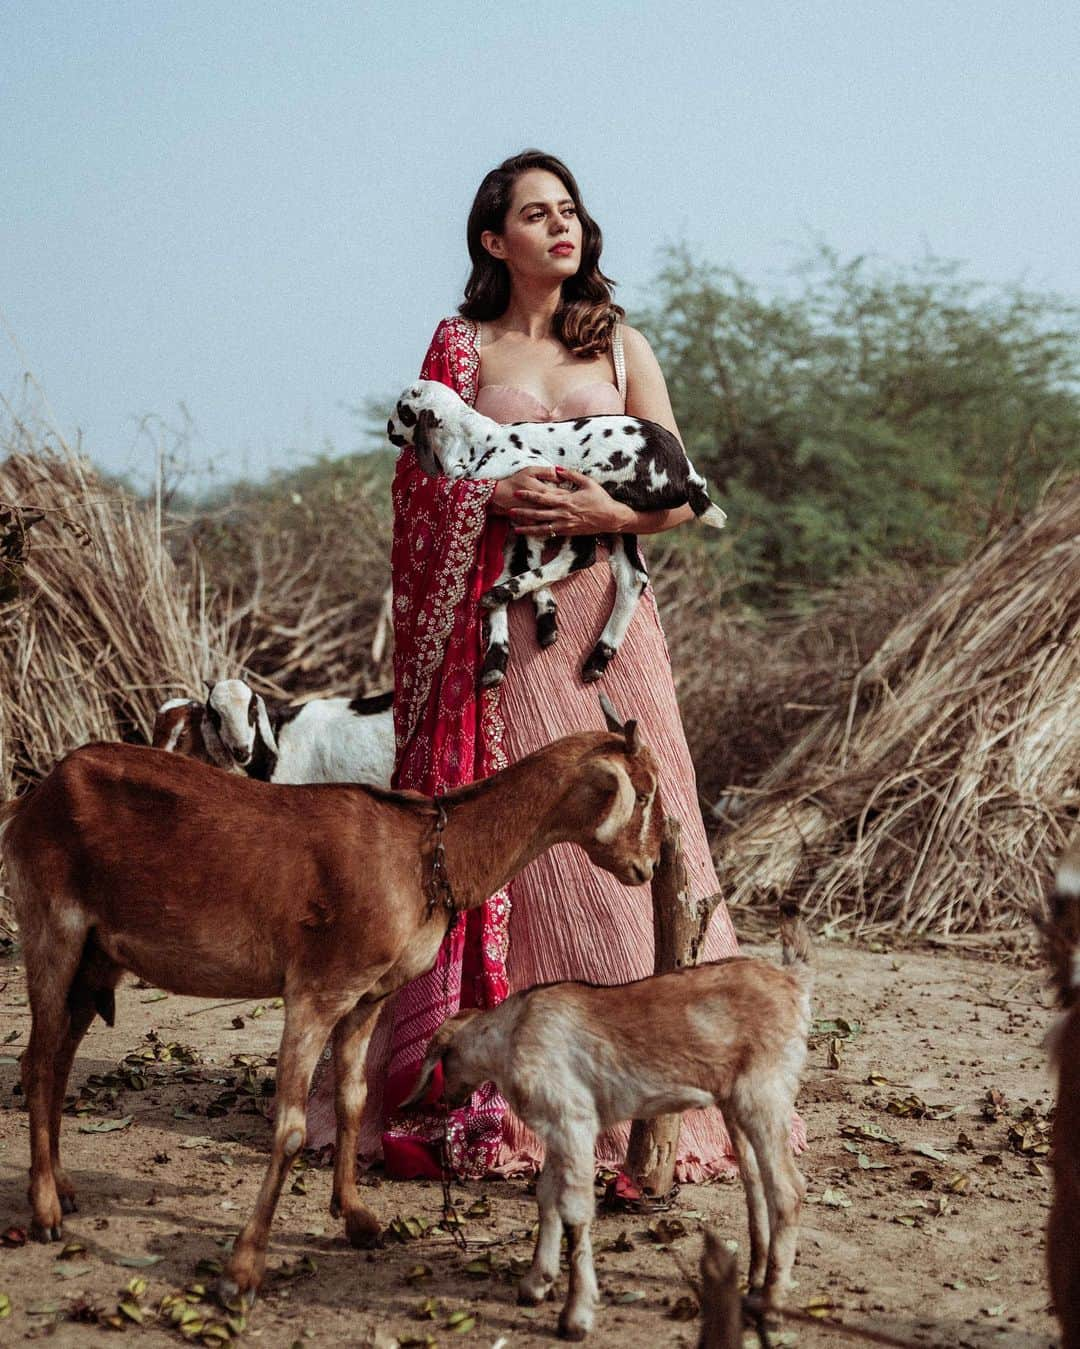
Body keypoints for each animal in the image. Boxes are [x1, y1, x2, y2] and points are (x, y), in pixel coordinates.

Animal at [388, 380, 722, 690]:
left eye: (403, 409)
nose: (389, 430)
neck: (478, 441)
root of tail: (688, 474)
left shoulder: (539, 486)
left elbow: (526, 564)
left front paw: (527, 612)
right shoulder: (517, 520)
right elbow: (521, 562)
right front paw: (508, 648)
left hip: (590, 491)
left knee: (581, 554)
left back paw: (504, 594)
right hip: (620, 520)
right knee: (632, 578)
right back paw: (597, 657)